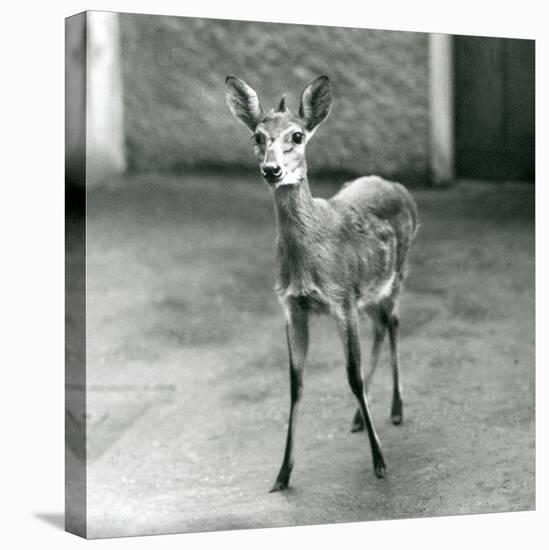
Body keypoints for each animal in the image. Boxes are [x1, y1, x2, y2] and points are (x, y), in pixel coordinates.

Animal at [225, 75, 418, 494]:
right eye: (256, 136)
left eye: (297, 136)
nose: (272, 170)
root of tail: (397, 186)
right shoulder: (293, 307)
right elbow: (295, 384)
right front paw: (282, 474)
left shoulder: (341, 299)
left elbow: (352, 377)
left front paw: (380, 463)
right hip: (369, 291)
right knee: (381, 326)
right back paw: (362, 418)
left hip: (396, 274)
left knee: (394, 322)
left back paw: (396, 410)